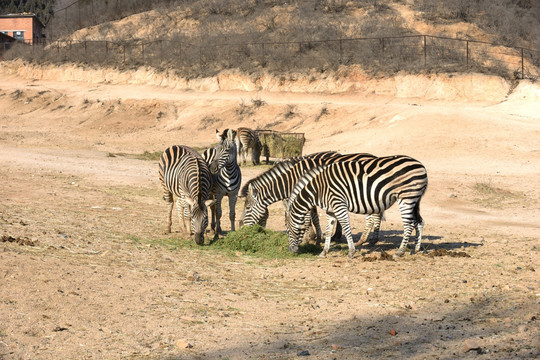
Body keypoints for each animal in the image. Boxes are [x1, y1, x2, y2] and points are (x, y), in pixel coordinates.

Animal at [240, 150, 384, 246]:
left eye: (247, 208)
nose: (243, 229)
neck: (290, 180)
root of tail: (374, 156)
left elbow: (306, 217)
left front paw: (307, 238)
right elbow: (313, 217)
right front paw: (317, 237)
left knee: (375, 216)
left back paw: (369, 240)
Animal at [284, 156, 428, 258]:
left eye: (289, 230)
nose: (291, 250)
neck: (318, 189)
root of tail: (421, 165)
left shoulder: (339, 204)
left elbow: (346, 228)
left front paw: (351, 252)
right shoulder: (331, 210)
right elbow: (329, 230)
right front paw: (324, 252)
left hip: (406, 197)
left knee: (409, 224)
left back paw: (400, 252)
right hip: (414, 199)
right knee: (419, 222)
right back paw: (416, 249)